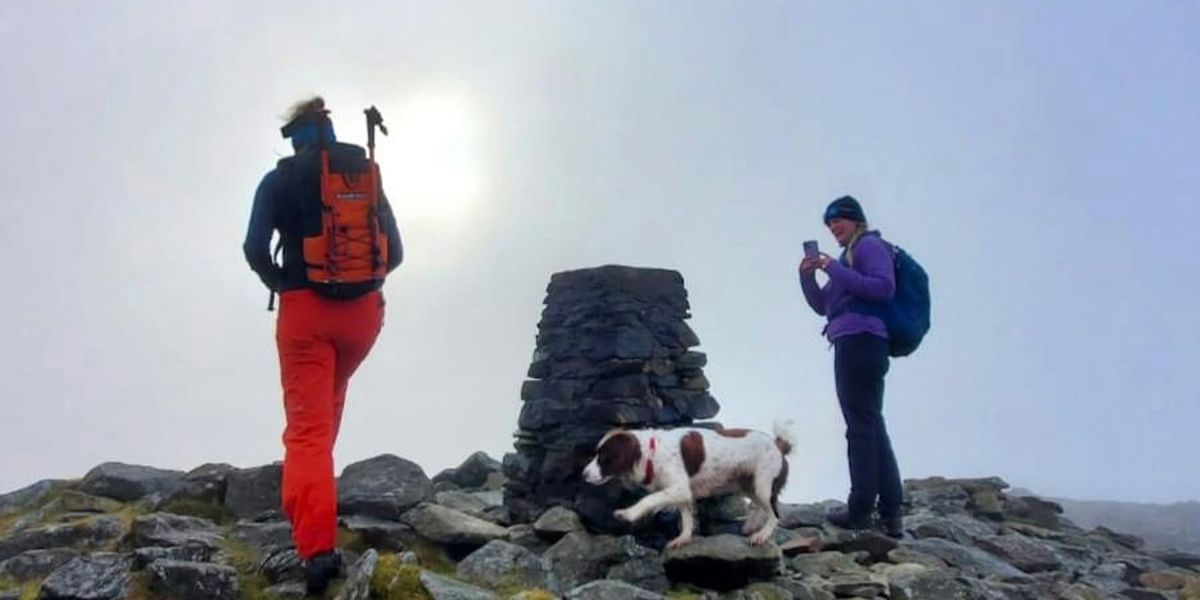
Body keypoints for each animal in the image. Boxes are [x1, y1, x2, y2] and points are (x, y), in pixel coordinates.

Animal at [583, 422, 796, 549]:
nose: (583, 475)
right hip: (747, 485)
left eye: (604, 457)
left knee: (775, 513)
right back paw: (751, 527)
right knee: (761, 507)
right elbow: (686, 518)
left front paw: (628, 513)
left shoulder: (679, 488)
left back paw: (762, 535)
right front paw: (683, 538)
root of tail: (779, 445)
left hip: (762, 485)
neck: (651, 453)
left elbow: (649, 499)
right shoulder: (683, 493)